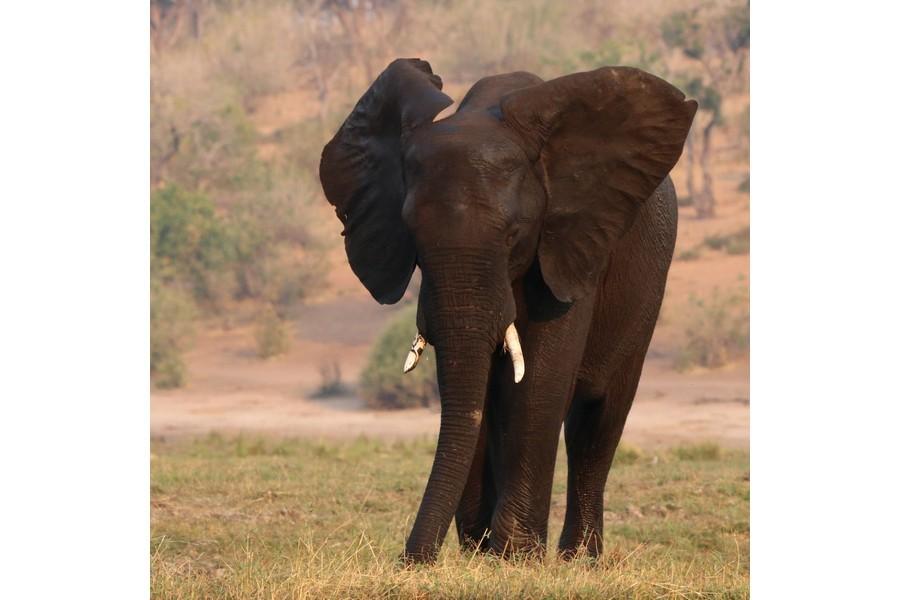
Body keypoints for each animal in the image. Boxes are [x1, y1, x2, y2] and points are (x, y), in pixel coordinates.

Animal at [320, 58, 700, 564]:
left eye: (514, 234)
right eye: (412, 236)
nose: (410, 561)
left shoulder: (567, 243)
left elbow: (537, 379)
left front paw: (514, 559)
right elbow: (477, 390)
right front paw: (484, 556)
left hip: (650, 282)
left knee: (597, 418)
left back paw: (580, 561)